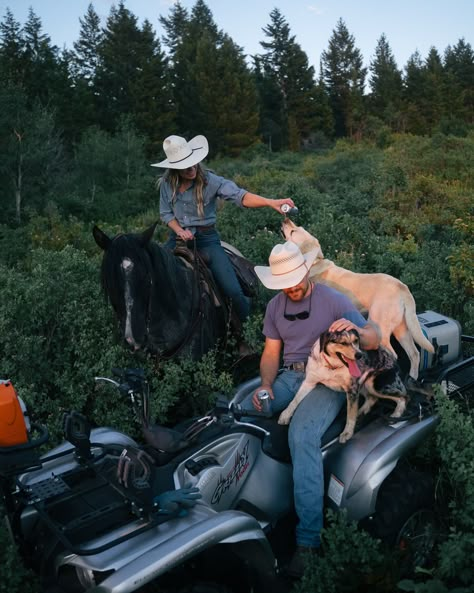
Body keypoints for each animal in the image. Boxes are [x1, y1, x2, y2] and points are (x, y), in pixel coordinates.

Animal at [278, 330, 408, 442]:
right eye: (343, 343)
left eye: (356, 340)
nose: (360, 355)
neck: (331, 366)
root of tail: (392, 358)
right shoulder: (309, 382)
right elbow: (294, 400)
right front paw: (285, 415)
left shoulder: (352, 389)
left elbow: (350, 415)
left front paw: (347, 433)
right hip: (363, 384)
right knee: (372, 398)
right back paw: (360, 411)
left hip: (375, 384)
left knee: (404, 396)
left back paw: (396, 414)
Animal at [284, 217, 436, 380]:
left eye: (293, 231)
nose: (285, 219)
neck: (313, 263)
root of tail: (402, 287)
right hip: (402, 329)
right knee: (414, 354)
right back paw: (412, 379)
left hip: (379, 327)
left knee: (394, 354)